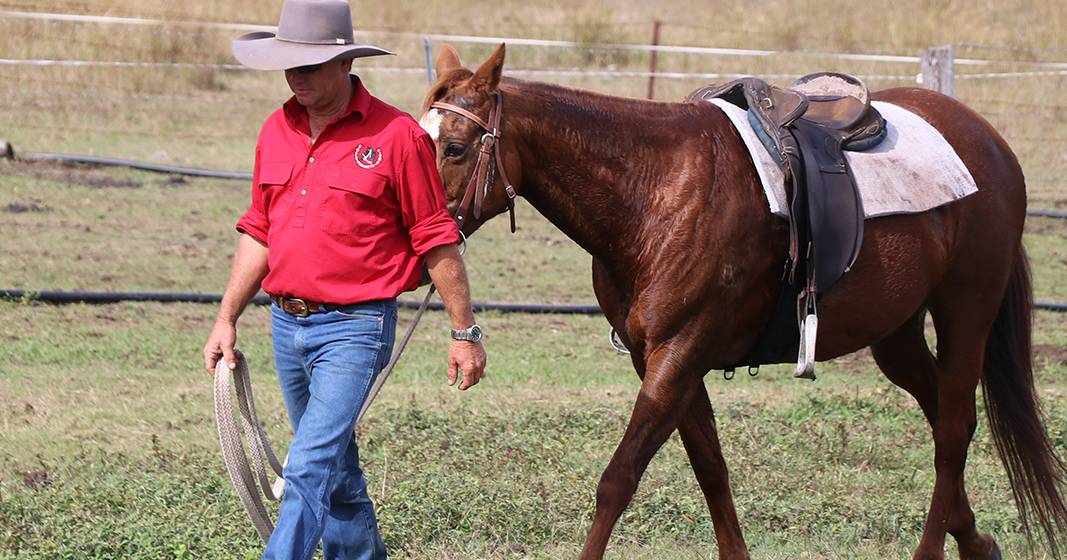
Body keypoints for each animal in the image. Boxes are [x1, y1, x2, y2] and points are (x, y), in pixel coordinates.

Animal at [418, 44, 1067, 558]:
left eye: (455, 148)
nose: (418, 231)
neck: (654, 191)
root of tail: (988, 140)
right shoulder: (665, 360)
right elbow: (711, 469)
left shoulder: (679, 353)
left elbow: (619, 478)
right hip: (896, 333)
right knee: (944, 418)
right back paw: (976, 542)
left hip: (967, 310)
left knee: (954, 428)